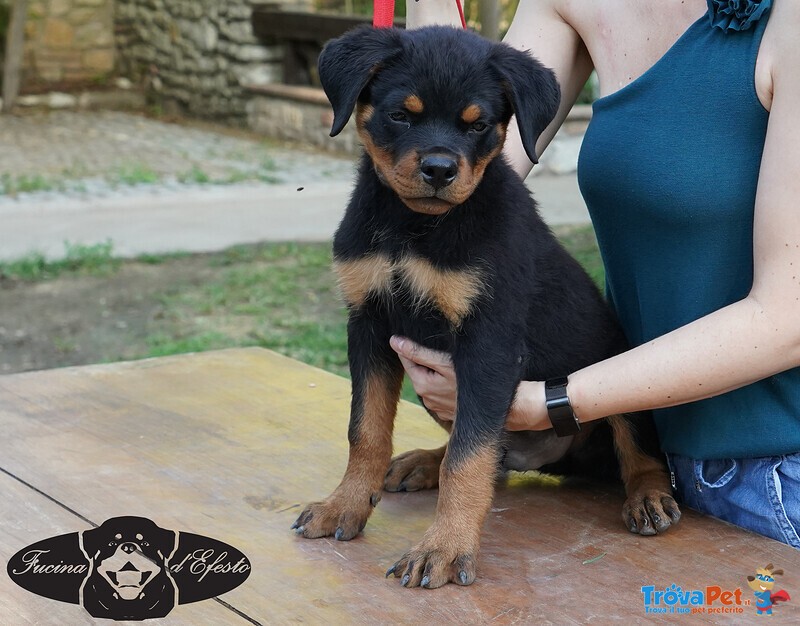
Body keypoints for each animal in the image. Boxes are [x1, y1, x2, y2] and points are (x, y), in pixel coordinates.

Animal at [294, 24, 680, 588]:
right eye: (400, 115)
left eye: (478, 125)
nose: (439, 169)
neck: (415, 226)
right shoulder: (367, 323)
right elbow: (365, 429)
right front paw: (343, 505)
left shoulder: (488, 343)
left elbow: (468, 458)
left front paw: (445, 548)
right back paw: (422, 462)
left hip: (613, 359)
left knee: (636, 449)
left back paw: (649, 496)